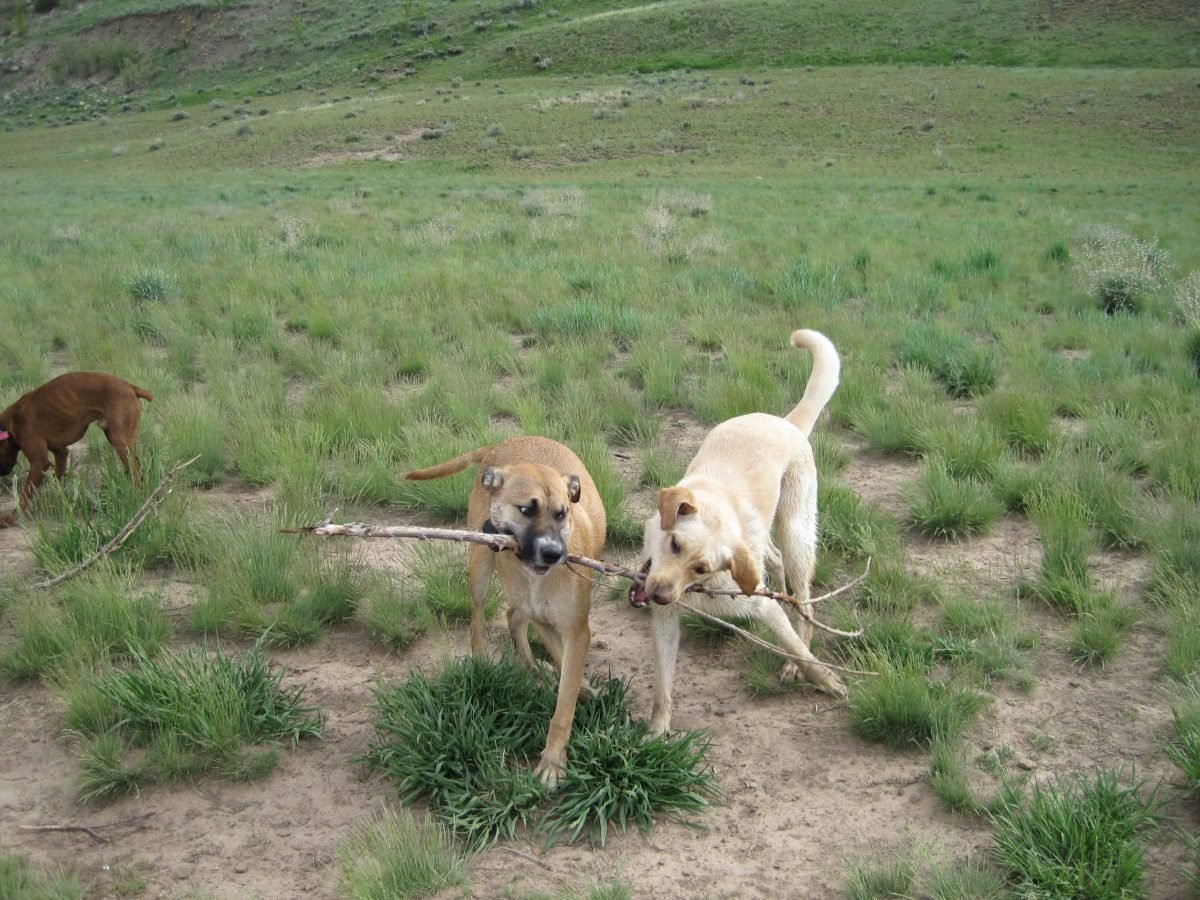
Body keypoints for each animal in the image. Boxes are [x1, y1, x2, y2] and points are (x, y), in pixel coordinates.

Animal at [0, 369, 152, 525]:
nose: (2, 473)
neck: (9, 425)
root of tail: (130, 387)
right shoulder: (60, 453)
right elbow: (58, 479)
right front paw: (60, 501)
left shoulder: (39, 463)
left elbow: (25, 494)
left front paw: (11, 517)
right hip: (117, 439)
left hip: (120, 443)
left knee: (136, 472)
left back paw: (137, 498)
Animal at [405, 436, 609, 787]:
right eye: (526, 509)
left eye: (562, 513)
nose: (553, 553)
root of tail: (501, 444)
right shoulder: (549, 623)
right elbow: (563, 679)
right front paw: (555, 760)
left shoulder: (575, 630)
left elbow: (565, 695)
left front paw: (555, 756)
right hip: (480, 568)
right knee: (478, 621)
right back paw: (483, 666)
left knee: (513, 616)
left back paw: (533, 666)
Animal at [633, 328, 849, 734]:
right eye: (674, 543)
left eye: (701, 568)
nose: (659, 595)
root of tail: (787, 422)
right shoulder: (665, 621)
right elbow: (663, 687)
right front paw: (656, 732)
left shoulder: (760, 605)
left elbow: (797, 647)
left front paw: (826, 679)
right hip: (768, 539)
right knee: (776, 566)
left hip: (795, 532)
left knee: (804, 606)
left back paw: (794, 657)